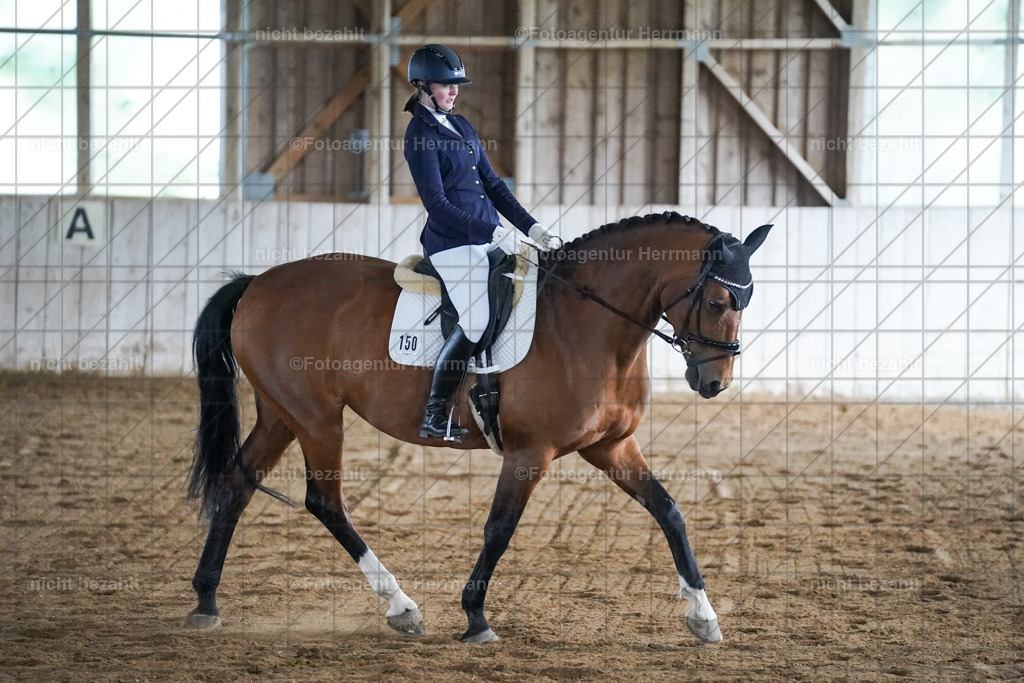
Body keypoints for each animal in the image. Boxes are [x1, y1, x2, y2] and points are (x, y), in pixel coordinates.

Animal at [184, 211, 771, 644]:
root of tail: (258, 283)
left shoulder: (612, 447)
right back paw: (402, 606)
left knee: (236, 485)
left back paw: (206, 601)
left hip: (280, 415)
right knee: (325, 501)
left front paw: (704, 615)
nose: (714, 382)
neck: (588, 326)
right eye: (717, 301)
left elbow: (669, 511)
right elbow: (499, 528)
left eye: (745, 301)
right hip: (317, 418)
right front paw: (475, 618)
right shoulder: (530, 453)